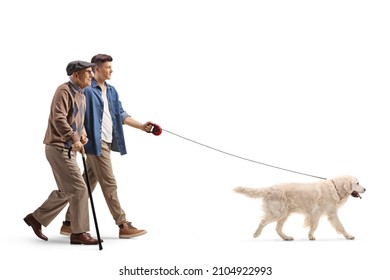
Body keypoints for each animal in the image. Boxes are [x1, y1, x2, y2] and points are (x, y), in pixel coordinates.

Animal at [235, 175, 366, 241]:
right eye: (357, 183)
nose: (365, 189)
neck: (334, 188)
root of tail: (269, 189)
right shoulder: (317, 212)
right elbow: (315, 225)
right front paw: (311, 236)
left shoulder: (331, 213)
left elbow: (340, 226)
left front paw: (348, 236)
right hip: (279, 213)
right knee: (263, 221)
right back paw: (256, 234)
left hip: (284, 214)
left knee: (277, 228)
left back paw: (286, 237)